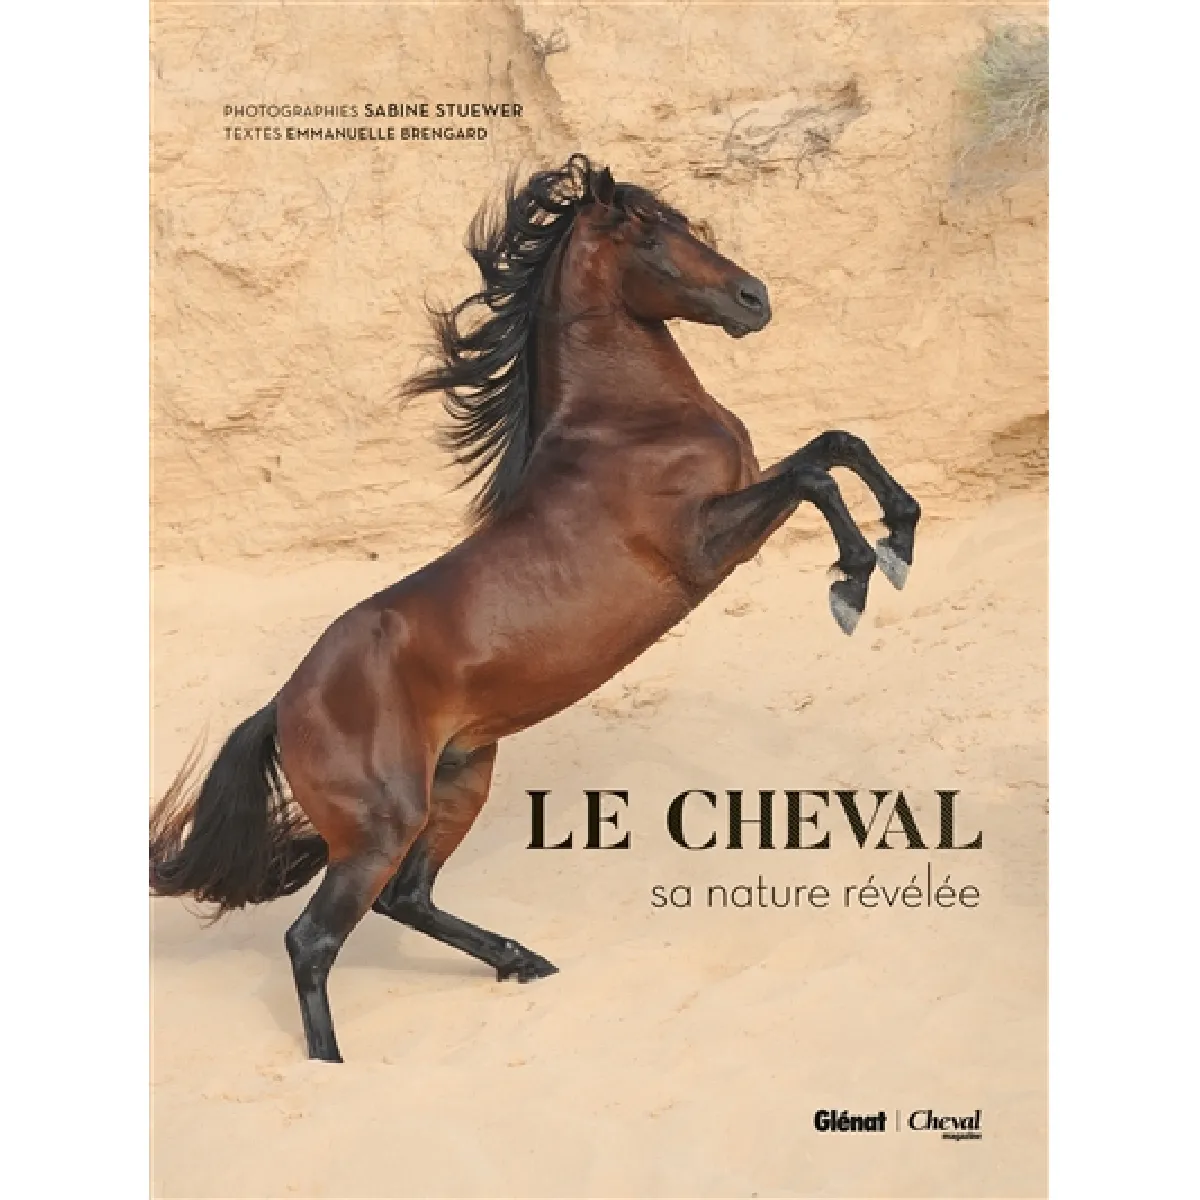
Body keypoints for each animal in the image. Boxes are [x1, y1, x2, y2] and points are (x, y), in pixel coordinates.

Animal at [149, 153, 920, 1062]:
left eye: (687, 223)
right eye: (648, 235)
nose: (753, 299)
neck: (623, 424)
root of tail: (281, 704)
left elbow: (838, 444)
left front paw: (901, 535)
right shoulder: (707, 549)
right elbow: (815, 475)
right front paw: (856, 579)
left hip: (460, 783)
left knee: (406, 898)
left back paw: (524, 962)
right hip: (382, 825)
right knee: (314, 939)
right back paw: (334, 1063)